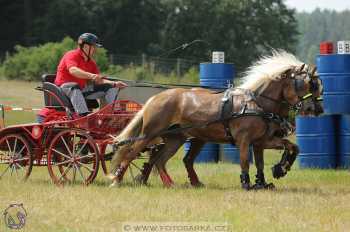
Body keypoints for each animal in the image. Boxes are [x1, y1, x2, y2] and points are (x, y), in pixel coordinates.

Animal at [108, 49, 322, 189]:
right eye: (307, 85)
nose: (316, 109)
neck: (257, 103)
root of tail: (155, 98)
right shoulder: (244, 140)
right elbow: (245, 161)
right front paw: (247, 183)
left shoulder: (261, 141)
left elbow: (288, 148)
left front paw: (273, 174)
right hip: (150, 134)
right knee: (130, 153)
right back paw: (117, 180)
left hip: (176, 138)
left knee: (160, 159)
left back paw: (170, 184)